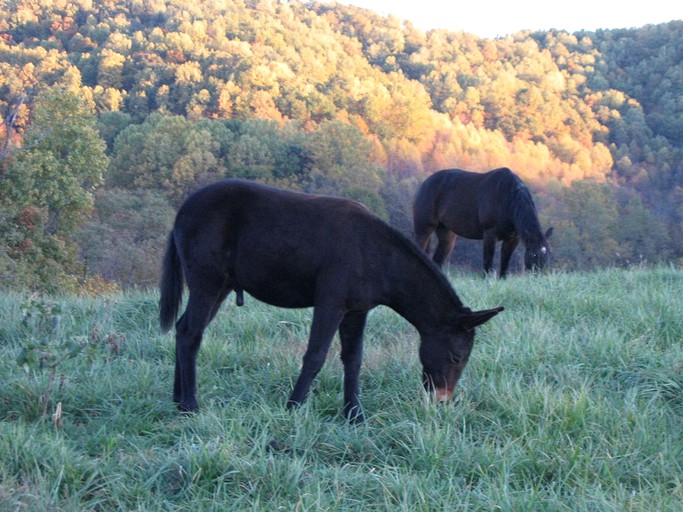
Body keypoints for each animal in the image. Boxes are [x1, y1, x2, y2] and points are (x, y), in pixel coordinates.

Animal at [159, 178, 502, 422]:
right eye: (457, 358)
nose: (442, 401)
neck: (376, 255)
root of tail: (183, 210)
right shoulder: (330, 303)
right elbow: (315, 355)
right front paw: (294, 406)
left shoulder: (357, 311)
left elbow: (353, 358)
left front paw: (354, 415)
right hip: (207, 281)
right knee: (191, 333)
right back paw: (190, 404)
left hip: (222, 287)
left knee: (182, 328)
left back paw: (177, 398)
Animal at [414, 169, 552, 278]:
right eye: (534, 254)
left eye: (549, 255)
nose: (541, 277)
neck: (507, 199)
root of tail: (425, 183)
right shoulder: (490, 235)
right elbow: (487, 261)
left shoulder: (513, 239)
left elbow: (505, 262)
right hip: (424, 228)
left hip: (446, 233)